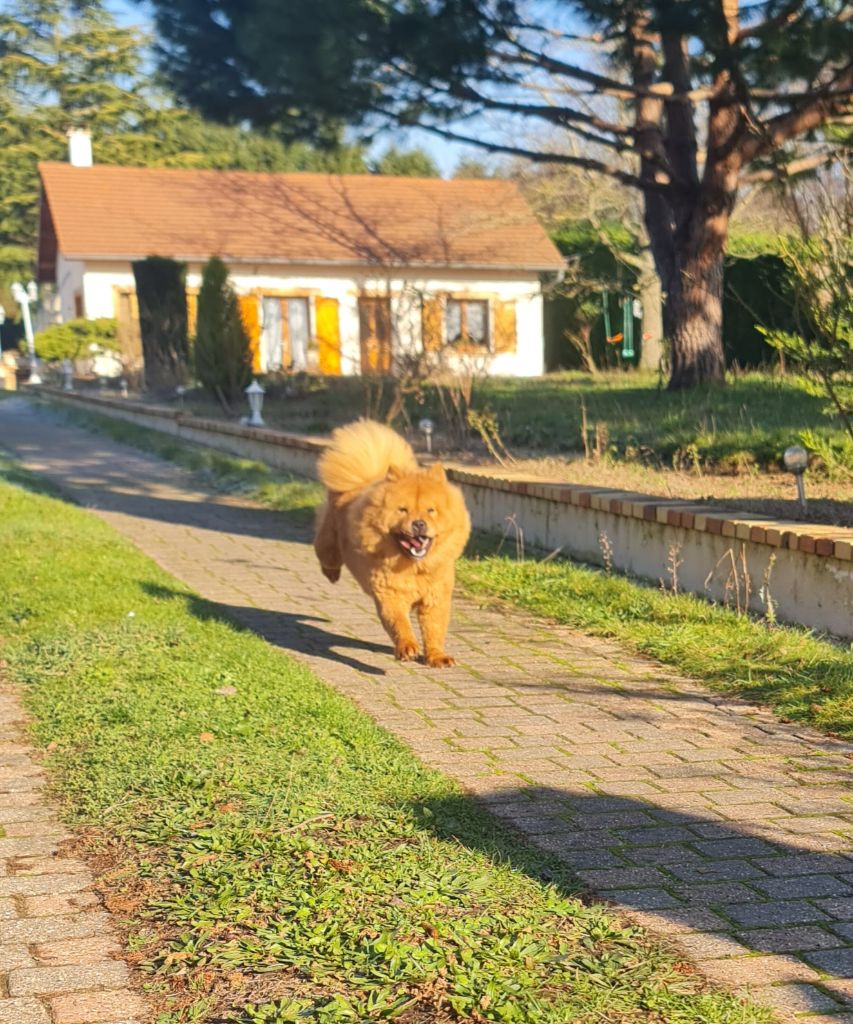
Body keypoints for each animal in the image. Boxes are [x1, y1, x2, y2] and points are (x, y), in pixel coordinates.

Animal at [315, 419, 473, 667]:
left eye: (431, 510)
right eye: (403, 510)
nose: (419, 524)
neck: (415, 567)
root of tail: (364, 481)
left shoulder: (435, 598)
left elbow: (435, 629)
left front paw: (437, 656)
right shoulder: (390, 595)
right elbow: (399, 624)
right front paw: (408, 648)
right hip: (328, 542)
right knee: (327, 557)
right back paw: (332, 574)